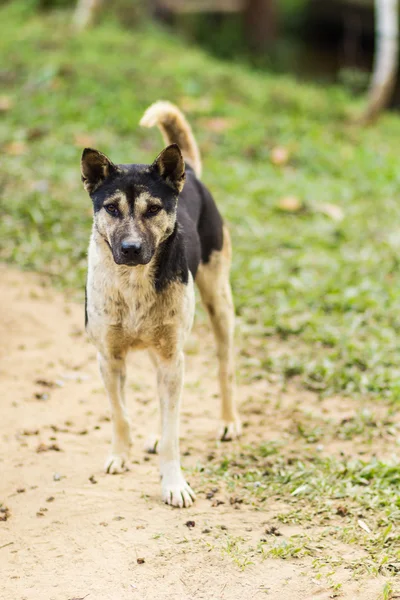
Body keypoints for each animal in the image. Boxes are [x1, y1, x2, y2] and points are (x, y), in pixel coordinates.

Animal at [81, 102, 241, 506]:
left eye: (153, 209)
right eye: (111, 208)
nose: (131, 248)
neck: (134, 282)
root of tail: (191, 174)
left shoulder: (173, 358)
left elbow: (173, 435)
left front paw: (173, 484)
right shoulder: (108, 357)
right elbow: (120, 414)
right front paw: (120, 455)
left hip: (219, 303)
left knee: (225, 367)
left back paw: (229, 421)